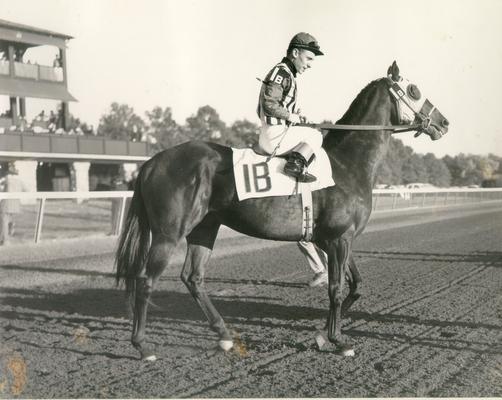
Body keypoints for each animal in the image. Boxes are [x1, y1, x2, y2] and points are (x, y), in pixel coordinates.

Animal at [115, 61, 450, 360]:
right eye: (414, 89)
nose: (444, 123)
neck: (346, 164)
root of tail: (152, 162)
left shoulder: (339, 239)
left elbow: (356, 287)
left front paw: (322, 336)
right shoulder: (338, 239)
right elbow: (337, 289)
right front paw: (338, 341)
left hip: (205, 228)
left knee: (193, 277)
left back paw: (224, 336)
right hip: (168, 233)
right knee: (146, 281)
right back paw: (143, 347)